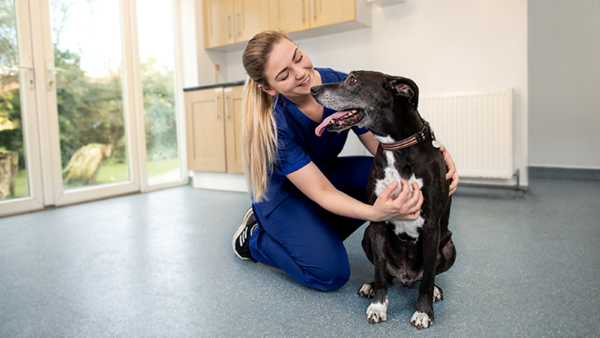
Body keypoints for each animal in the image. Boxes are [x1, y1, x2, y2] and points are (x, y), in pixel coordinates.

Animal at [314, 72, 454, 330]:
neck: (397, 147)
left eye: (352, 80)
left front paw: (423, 311)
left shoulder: (431, 225)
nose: (312, 89)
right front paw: (378, 306)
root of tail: (406, 278)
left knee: (428, 276)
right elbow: (380, 271)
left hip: (449, 246)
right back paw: (371, 286)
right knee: (387, 275)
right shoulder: (378, 219)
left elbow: (429, 275)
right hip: (368, 235)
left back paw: (435, 291)